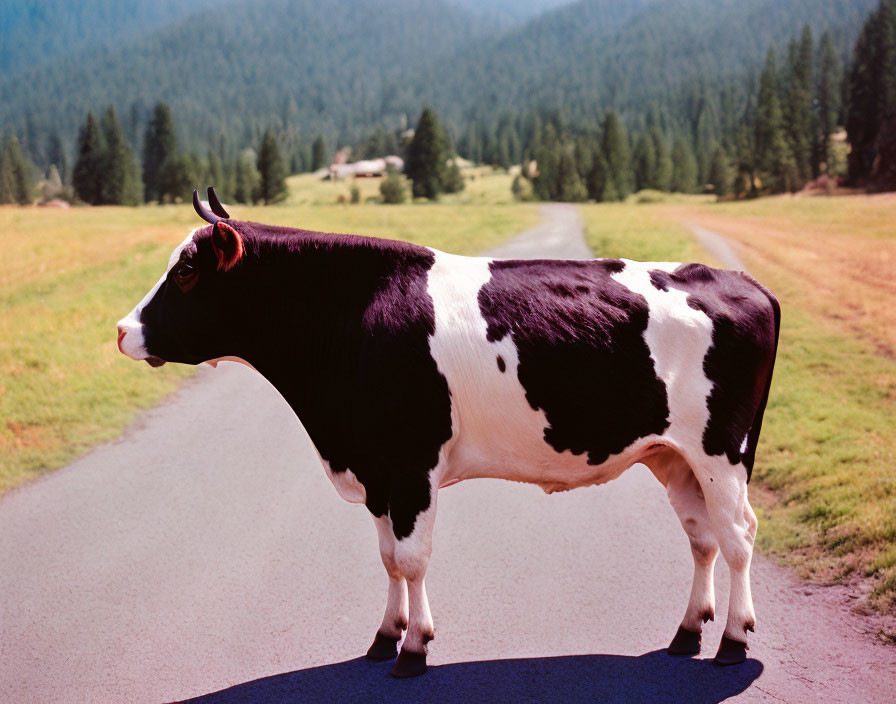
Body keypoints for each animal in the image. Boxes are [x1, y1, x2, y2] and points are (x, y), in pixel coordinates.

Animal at [117, 186, 776, 676]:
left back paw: (734, 641)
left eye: (187, 271)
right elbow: (388, 557)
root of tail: (740, 280)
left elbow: (411, 559)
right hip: (673, 456)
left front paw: (412, 650)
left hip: (721, 451)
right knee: (702, 536)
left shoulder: (411, 466)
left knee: (738, 534)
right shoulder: (378, 471)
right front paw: (386, 636)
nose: (123, 330)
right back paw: (687, 632)